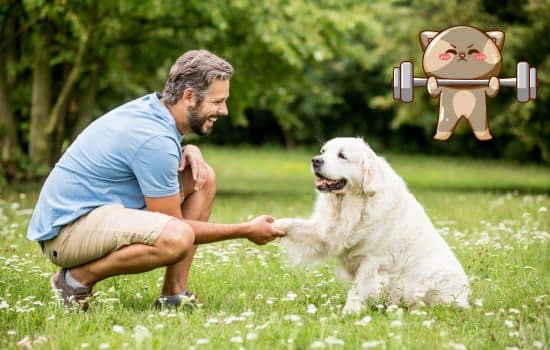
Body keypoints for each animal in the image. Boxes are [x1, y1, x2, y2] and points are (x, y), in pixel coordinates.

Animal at [274, 137, 470, 314]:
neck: (354, 204)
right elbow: (292, 224)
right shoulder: (325, 232)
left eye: (342, 155)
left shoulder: (372, 260)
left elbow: (358, 288)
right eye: (323, 152)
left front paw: (349, 312)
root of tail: (466, 296)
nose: (315, 160)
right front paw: (273, 225)